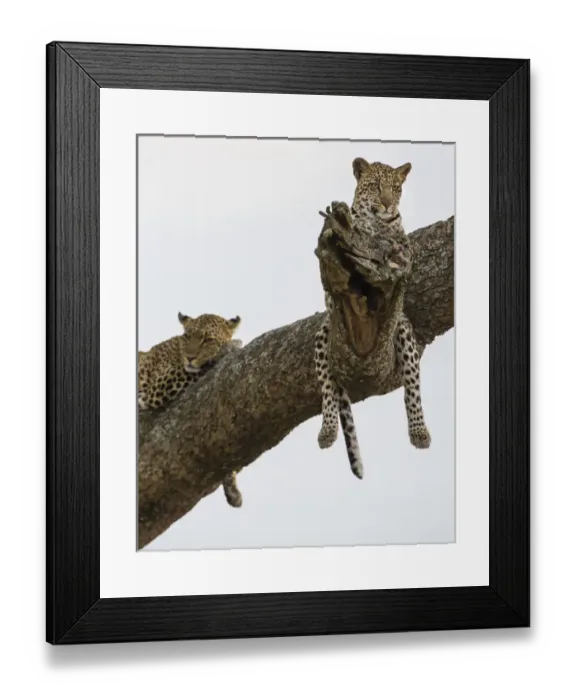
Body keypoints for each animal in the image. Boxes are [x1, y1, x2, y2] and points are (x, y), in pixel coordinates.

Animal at [138, 311, 243, 508]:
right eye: (187, 336)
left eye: (207, 340)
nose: (190, 357)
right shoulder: (157, 388)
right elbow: (198, 368)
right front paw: (232, 346)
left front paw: (233, 489)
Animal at [314, 157, 431, 479]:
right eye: (377, 187)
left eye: (397, 188)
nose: (389, 206)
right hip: (324, 334)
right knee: (327, 387)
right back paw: (327, 431)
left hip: (402, 331)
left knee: (412, 386)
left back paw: (420, 432)